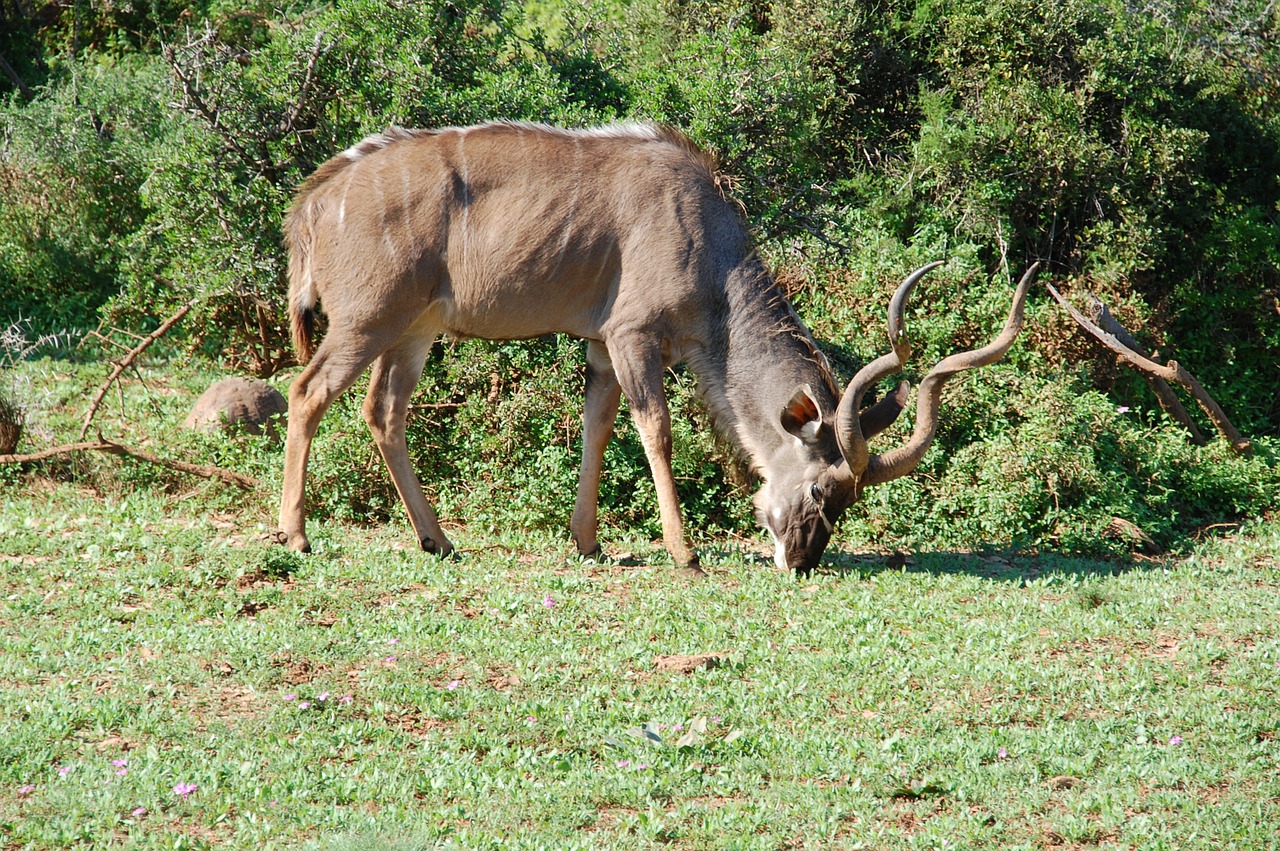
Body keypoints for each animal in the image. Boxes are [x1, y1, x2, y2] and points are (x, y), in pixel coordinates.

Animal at [280, 122, 1039, 573]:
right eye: (823, 489)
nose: (798, 559)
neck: (711, 252)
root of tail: (312, 205)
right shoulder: (632, 335)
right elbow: (657, 429)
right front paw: (684, 552)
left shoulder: (599, 349)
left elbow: (598, 427)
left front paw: (588, 542)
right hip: (367, 323)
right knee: (306, 391)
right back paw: (296, 535)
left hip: (414, 331)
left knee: (382, 411)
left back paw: (436, 539)